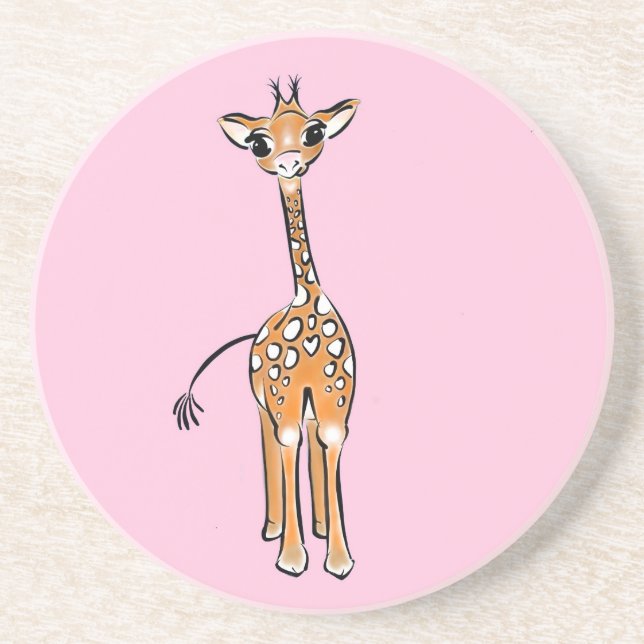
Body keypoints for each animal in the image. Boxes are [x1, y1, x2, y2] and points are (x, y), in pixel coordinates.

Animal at [173, 76, 359, 579]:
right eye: (259, 143)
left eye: (314, 132)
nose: (290, 163)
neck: (307, 303)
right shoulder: (281, 398)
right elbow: (287, 447)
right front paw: (292, 559)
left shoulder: (336, 401)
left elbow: (329, 446)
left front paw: (338, 558)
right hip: (263, 402)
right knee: (272, 446)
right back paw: (274, 528)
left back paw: (318, 528)